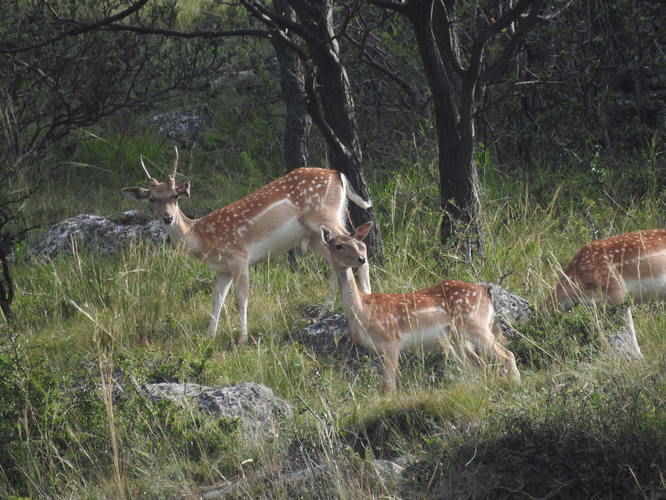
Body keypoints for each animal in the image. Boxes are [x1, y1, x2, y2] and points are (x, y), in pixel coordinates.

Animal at [122, 149, 370, 344]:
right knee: (336, 258)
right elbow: (217, 300)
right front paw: (209, 337)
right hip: (316, 234)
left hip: (324, 215)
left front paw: (242, 339)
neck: (204, 239)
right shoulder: (222, 269)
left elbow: (240, 299)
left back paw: (365, 297)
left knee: (360, 245)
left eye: (175, 196)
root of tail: (338, 175)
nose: (167, 218)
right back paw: (323, 311)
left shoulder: (239, 256)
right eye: (152, 199)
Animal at [320, 222, 520, 390]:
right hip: (458, 337)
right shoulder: (376, 349)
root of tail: (486, 291)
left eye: (359, 244)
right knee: (481, 365)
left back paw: (516, 385)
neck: (362, 311)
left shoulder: (391, 340)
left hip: (474, 323)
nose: (361, 259)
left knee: (507, 355)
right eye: (338, 245)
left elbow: (389, 386)